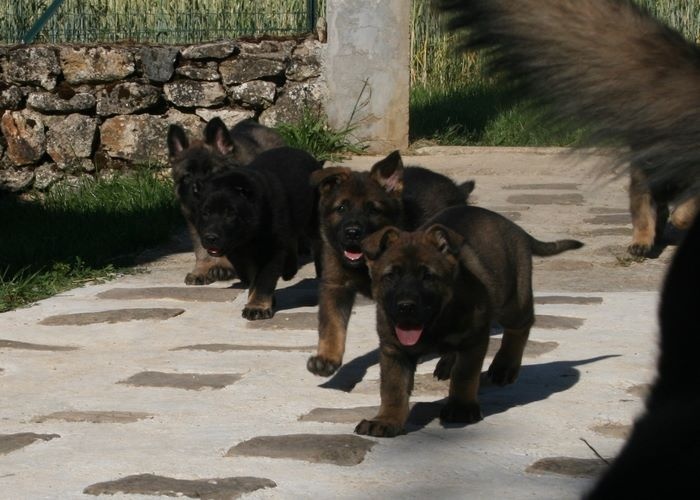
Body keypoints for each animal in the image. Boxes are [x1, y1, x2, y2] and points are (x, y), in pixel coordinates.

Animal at [167, 117, 284, 286]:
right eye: (187, 176)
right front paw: (201, 270)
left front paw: (224, 267)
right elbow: (201, 250)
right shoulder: (197, 224)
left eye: (212, 172)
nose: (197, 188)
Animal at [191, 147, 322, 320]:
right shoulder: (238, 253)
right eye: (205, 213)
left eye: (230, 214)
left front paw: (257, 307)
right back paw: (289, 269)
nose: (210, 237)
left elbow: (263, 280)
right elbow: (251, 276)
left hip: (314, 222)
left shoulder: (271, 250)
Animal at [306, 150, 476, 376]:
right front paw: (327, 359)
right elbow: (332, 325)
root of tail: (456, 189)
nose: (353, 232)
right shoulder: (336, 285)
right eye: (341, 208)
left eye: (372, 210)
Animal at [356, 204, 580, 438]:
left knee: (521, 326)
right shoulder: (393, 349)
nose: (406, 307)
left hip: (513, 300)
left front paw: (460, 408)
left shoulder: (473, 340)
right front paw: (386, 420)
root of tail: (514, 227)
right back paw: (448, 363)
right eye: (390, 276)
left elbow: (464, 376)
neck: (435, 324)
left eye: (428, 276)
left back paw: (505, 366)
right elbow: (393, 388)